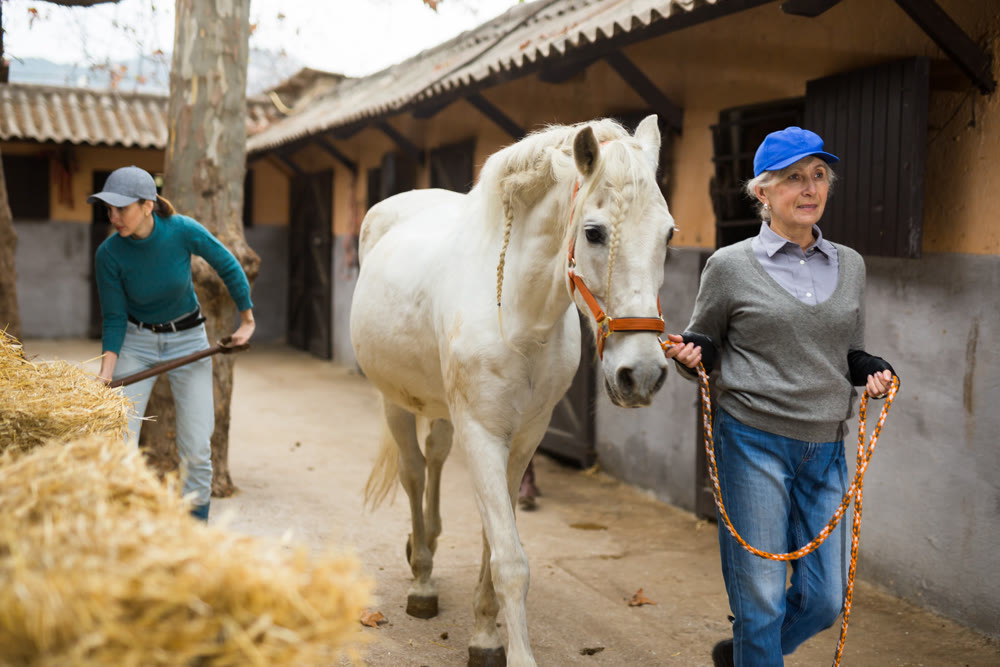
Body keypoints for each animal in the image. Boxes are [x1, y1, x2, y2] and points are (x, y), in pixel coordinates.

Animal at [350, 115, 675, 666]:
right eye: (593, 232)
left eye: (669, 233)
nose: (643, 374)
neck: (518, 318)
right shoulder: (483, 433)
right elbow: (509, 559)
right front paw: (510, 648)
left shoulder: (524, 437)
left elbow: (494, 543)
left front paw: (484, 633)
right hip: (396, 401)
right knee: (414, 472)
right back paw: (421, 580)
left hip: (443, 409)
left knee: (435, 456)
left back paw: (427, 546)